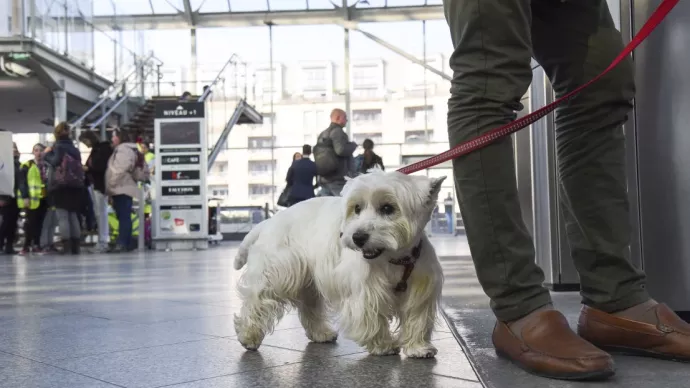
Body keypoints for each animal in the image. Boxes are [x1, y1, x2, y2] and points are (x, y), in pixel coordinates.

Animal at [234, 170, 444, 358]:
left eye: (387, 208)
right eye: (357, 208)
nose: (358, 237)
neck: (395, 257)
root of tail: (269, 222)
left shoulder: (421, 290)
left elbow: (418, 318)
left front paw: (419, 348)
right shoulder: (366, 290)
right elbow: (372, 318)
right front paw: (383, 345)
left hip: (308, 280)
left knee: (309, 307)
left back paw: (321, 333)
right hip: (280, 273)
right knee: (258, 300)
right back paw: (248, 336)